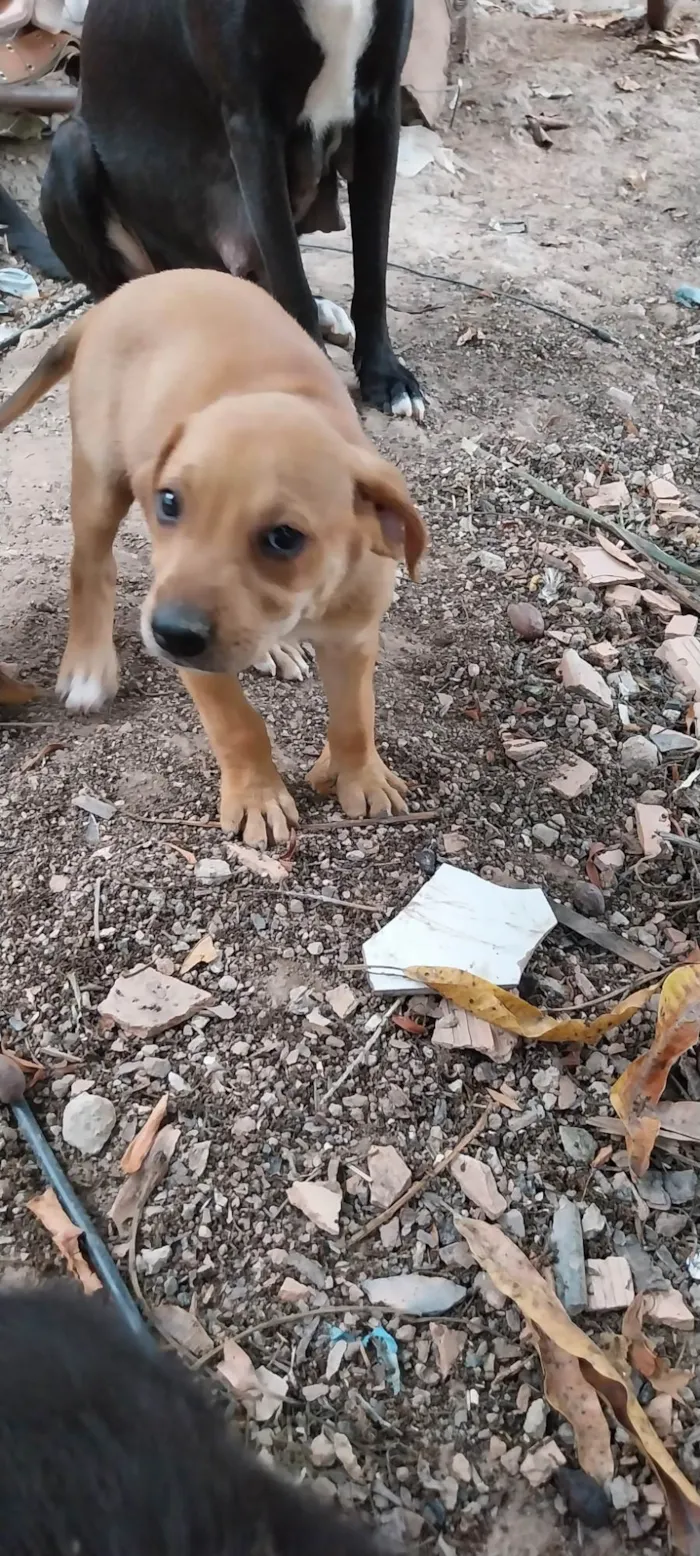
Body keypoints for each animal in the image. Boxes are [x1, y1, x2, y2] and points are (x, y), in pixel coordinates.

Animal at [0, 273, 423, 846]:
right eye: (169, 502)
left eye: (284, 537)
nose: (169, 634)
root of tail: (115, 298)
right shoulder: (196, 659)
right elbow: (237, 724)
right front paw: (257, 797)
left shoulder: (354, 636)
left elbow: (355, 715)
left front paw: (363, 777)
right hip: (99, 477)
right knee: (90, 565)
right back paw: (88, 665)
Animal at [41, 0, 423, 420]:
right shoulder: (254, 126)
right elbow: (290, 276)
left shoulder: (382, 107)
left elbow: (372, 266)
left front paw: (385, 375)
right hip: (70, 149)